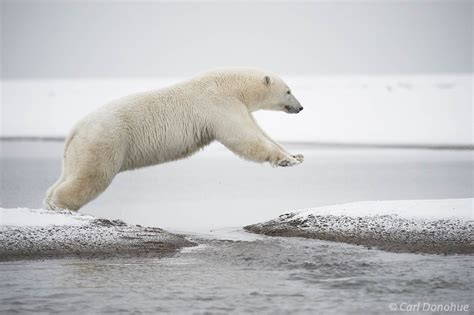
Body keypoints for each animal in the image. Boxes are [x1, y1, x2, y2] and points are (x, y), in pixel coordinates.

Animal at [44, 69, 304, 212]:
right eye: (289, 91)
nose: (300, 107)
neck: (232, 85)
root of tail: (75, 129)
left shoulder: (236, 106)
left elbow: (258, 131)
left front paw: (296, 155)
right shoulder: (219, 105)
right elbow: (244, 137)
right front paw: (286, 160)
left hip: (79, 149)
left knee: (69, 174)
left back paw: (48, 200)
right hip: (105, 141)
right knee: (91, 177)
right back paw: (59, 205)